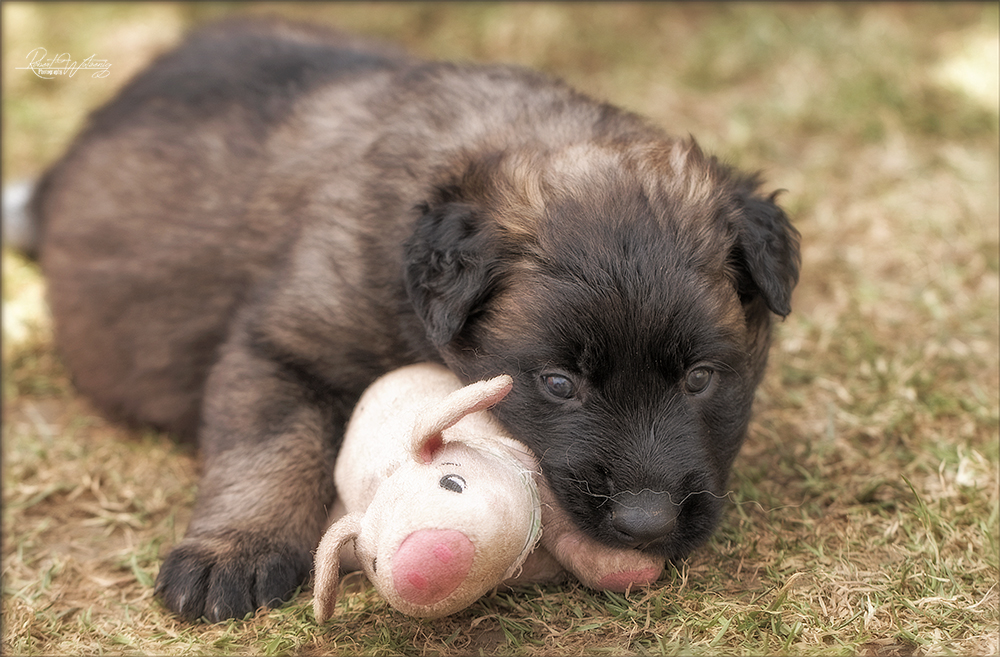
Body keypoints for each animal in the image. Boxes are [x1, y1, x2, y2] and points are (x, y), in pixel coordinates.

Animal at [29, 16, 796, 620]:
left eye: (700, 378)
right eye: (558, 384)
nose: (646, 523)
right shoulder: (283, 345)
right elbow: (272, 447)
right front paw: (233, 551)